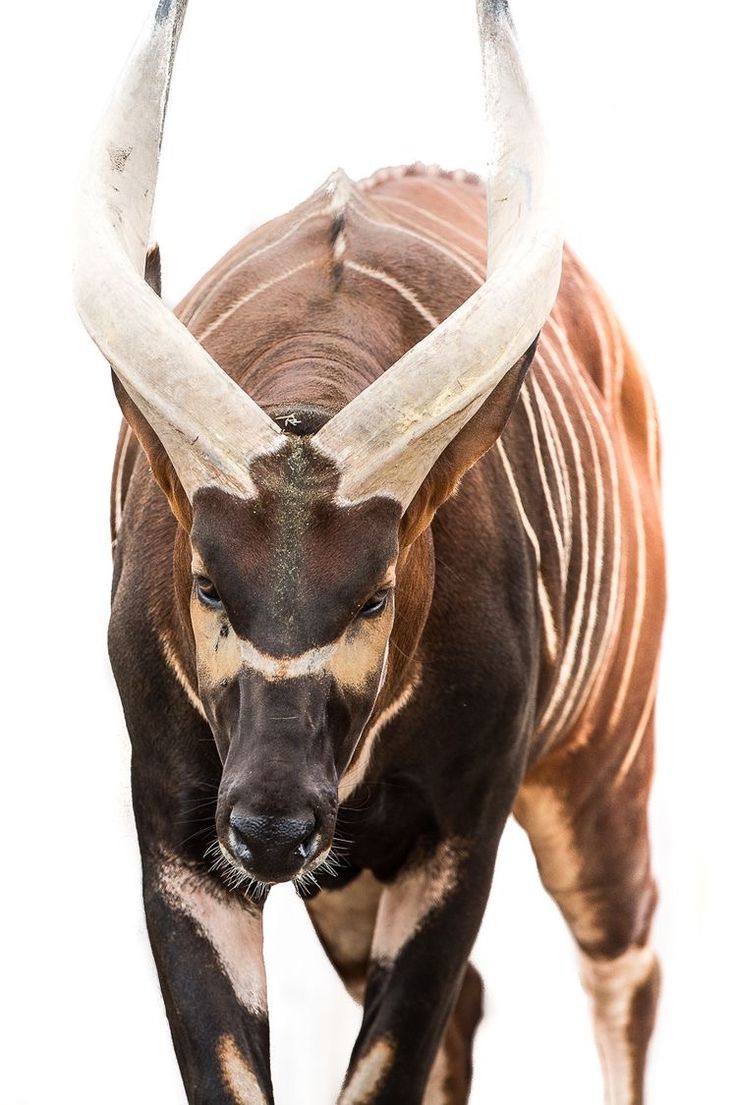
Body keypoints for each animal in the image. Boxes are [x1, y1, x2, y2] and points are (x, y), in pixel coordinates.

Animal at [74, 2, 663, 1105]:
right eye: (208, 584)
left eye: (376, 595)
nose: (272, 824)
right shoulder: (180, 838)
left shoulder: (458, 840)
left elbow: (389, 1061)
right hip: (344, 886)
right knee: (479, 1004)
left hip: (598, 770)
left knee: (624, 956)